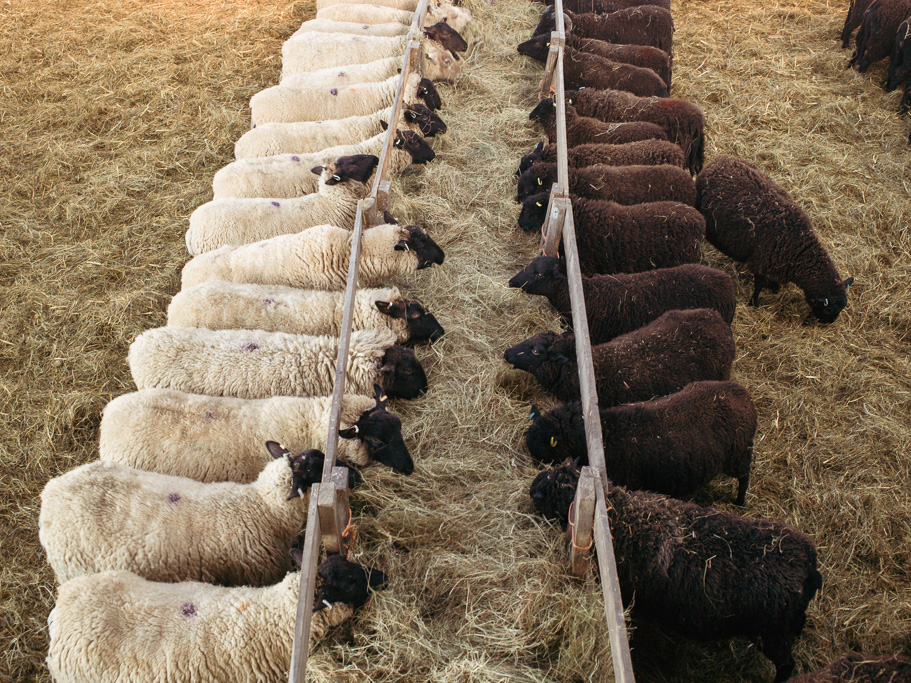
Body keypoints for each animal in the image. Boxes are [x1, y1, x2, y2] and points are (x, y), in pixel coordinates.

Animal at [526, 380, 756, 504]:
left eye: (540, 444)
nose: (534, 464)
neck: (605, 432)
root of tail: (742, 393)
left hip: (740, 455)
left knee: (744, 478)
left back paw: (739, 502)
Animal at [529, 469, 821, 682]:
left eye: (548, 492)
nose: (532, 487)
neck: (620, 516)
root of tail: (809, 565)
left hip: (772, 635)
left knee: (787, 665)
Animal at [696, 155, 853, 322]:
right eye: (828, 311)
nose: (827, 323)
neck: (799, 248)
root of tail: (718, 161)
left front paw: (774, 287)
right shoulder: (760, 262)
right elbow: (759, 284)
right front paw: (754, 303)